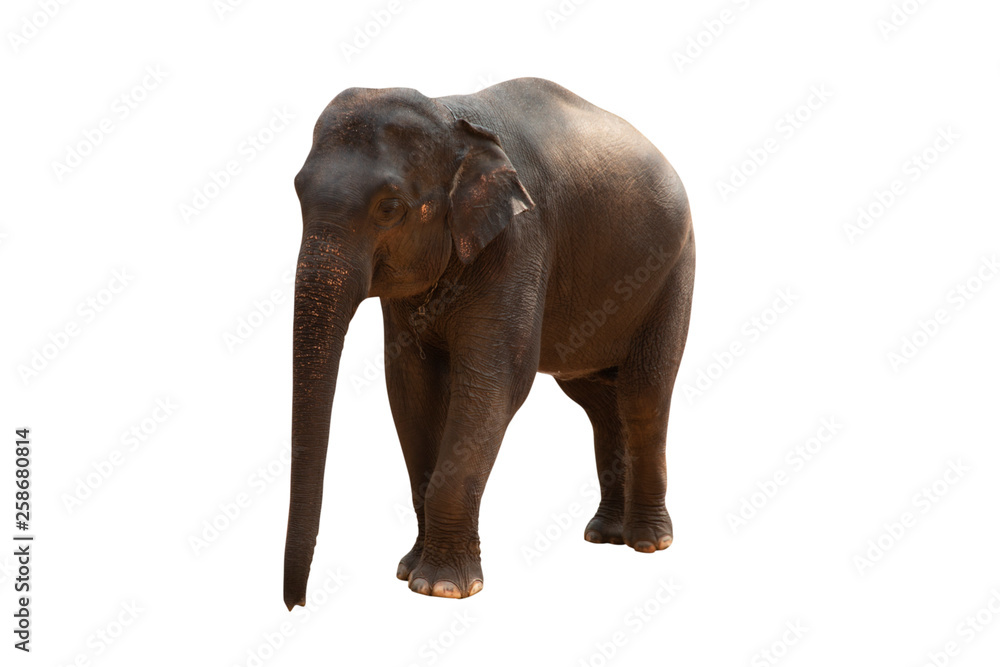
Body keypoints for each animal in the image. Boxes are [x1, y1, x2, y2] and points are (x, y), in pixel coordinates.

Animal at [283, 77, 694, 608]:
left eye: (389, 208)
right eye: (297, 192)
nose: (297, 603)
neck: (452, 117)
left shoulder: (520, 240)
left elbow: (494, 383)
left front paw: (442, 588)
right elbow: (411, 388)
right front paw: (409, 570)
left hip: (673, 269)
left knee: (645, 392)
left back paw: (646, 542)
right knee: (599, 402)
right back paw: (605, 534)